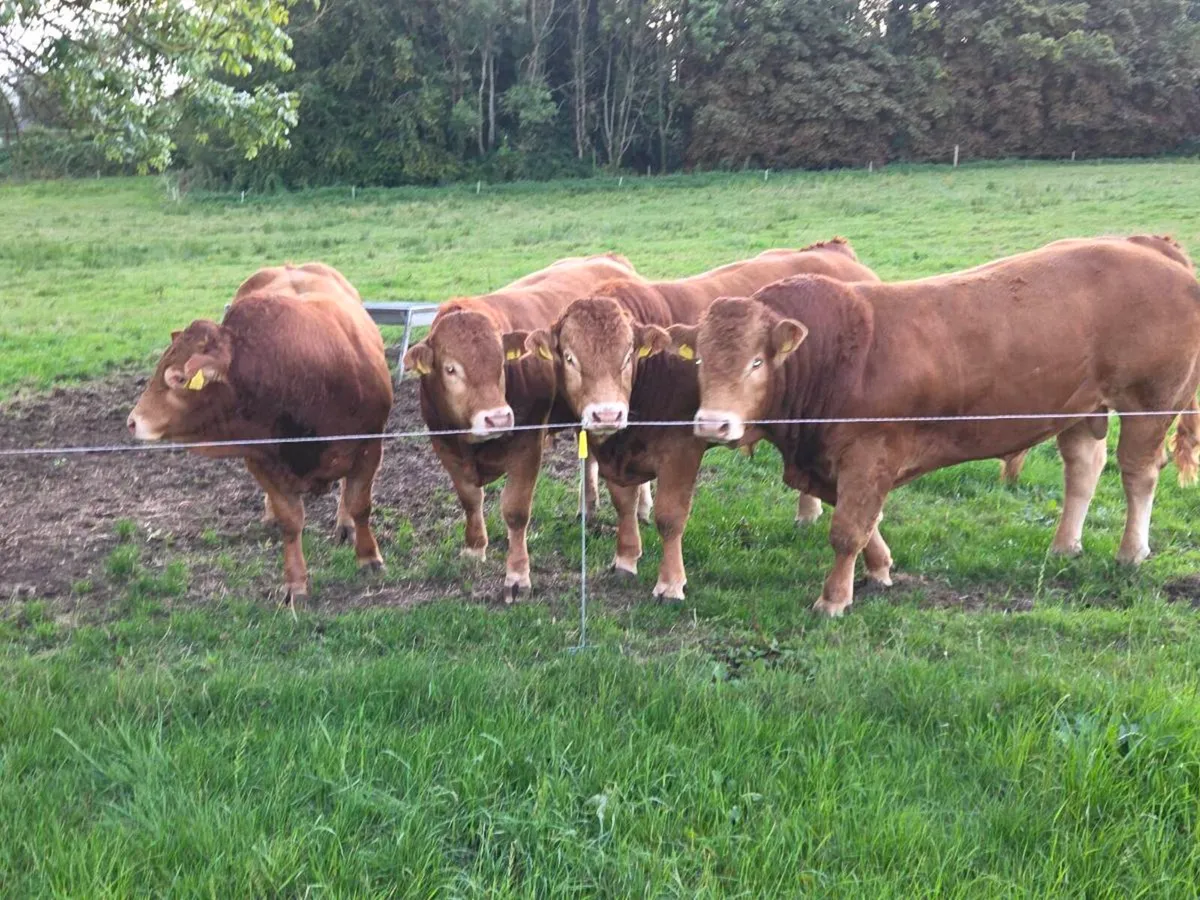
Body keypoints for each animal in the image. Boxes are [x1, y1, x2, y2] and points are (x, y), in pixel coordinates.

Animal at [127, 262, 394, 605]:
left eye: (179, 378)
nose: (133, 421)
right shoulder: (260, 458)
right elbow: (290, 521)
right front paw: (295, 583)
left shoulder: (369, 446)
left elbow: (360, 504)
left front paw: (369, 558)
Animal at [402, 253, 642, 600]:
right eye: (450, 369)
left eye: (501, 363)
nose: (498, 418)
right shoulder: (443, 445)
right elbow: (469, 499)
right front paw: (474, 548)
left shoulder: (528, 445)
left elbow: (515, 511)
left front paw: (517, 575)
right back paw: (587, 507)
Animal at [523, 241, 881, 599]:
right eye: (570, 358)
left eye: (627, 356)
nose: (607, 414)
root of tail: (834, 252)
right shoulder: (614, 452)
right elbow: (624, 504)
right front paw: (626, 559)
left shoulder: (681, 449)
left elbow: (670, 516)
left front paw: (670, 582)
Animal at [669, 235, 1200, 616]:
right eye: (700, 361)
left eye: (756, 362)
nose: (713, 424)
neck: (836, 352)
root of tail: (1148, 246)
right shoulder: (835, 461)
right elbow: (864, 519)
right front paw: (880, 568)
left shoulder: (868, 453)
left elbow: (848, 529)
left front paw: (834, 598)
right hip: (1082, 407)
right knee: (1085, 468)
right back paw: (1065, 545)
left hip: (1149, 404)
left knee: (1138, 474)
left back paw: (1131, 551)